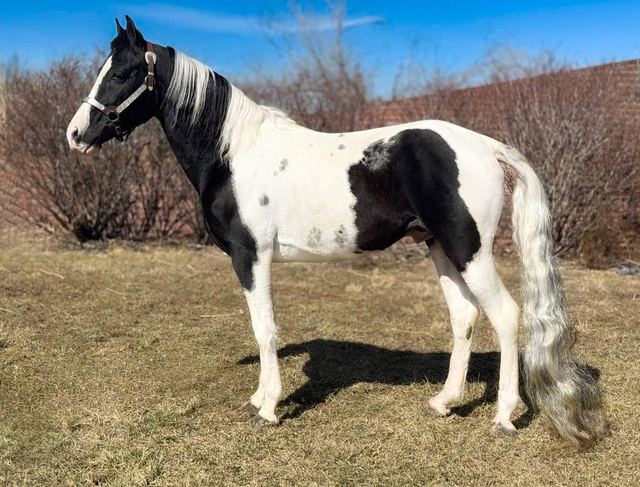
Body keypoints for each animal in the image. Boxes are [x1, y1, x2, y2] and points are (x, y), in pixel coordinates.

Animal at [66, 16, 607, 448]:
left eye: (121, 72)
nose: (75, 135)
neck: (233, 153)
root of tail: (487, 147)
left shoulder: (250, 256)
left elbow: (265, 329)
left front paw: (267, 406)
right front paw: (259, 397)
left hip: (468, 249)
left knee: (507, 316)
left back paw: (503, 417)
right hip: (439, 248)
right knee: (465, 317)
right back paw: (445, 401)